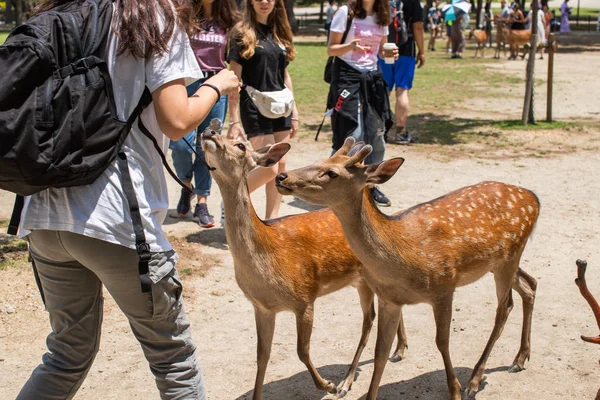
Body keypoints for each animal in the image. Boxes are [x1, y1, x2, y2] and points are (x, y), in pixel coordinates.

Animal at [202, 132, 408, 400]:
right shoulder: (262, 307)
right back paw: (400, 349)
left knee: (369, 320)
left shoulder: (304, 298)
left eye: (239, 144)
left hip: (366, 279)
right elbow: (262, 356)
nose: (209, 132)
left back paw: (346, 382)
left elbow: (302, 351)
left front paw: (328, 385)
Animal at [274, 138, 540, 400]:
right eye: (320, 159)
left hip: (509, 256)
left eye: (332, 173)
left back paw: (474, 380)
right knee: (529, 284)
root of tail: (534, 199)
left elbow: (442, 342)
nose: (281, 177)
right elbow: (380, 352)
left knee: (505, 306)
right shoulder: (389, 300)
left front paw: (454, 389)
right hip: (500, 262)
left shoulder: (444, 287)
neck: (401, 260)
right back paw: (520, 359)